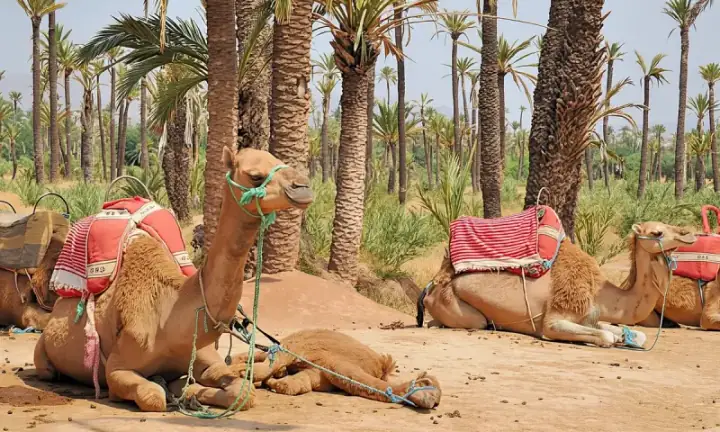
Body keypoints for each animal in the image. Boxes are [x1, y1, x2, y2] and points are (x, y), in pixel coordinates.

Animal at [33, 147, 313, 412]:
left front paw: (188, 392)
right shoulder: (117, 368)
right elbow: (152, 396)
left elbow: (244, 392)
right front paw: (172, 391)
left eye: (278, 159)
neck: (170, 316)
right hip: (43, 356)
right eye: (256, 176)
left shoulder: (206, 359)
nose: (304, 187)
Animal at [228, 329, 441, 409]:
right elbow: (271, 366)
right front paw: (242, 372)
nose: (435, 401)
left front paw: (274, 382)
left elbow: (296, 385)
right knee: (265, 353)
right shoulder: (302, 350)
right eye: (428, 385)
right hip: (293, 340)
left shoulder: (320, 374)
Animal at [418, 221, 696, 347]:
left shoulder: (589, 316)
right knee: (473, 322)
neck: (599, 293)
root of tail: (431, 287)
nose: (690, 233)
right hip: (459, 306)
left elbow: (634, 334)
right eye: (657, 232)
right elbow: (605, 336)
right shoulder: (555, 319)